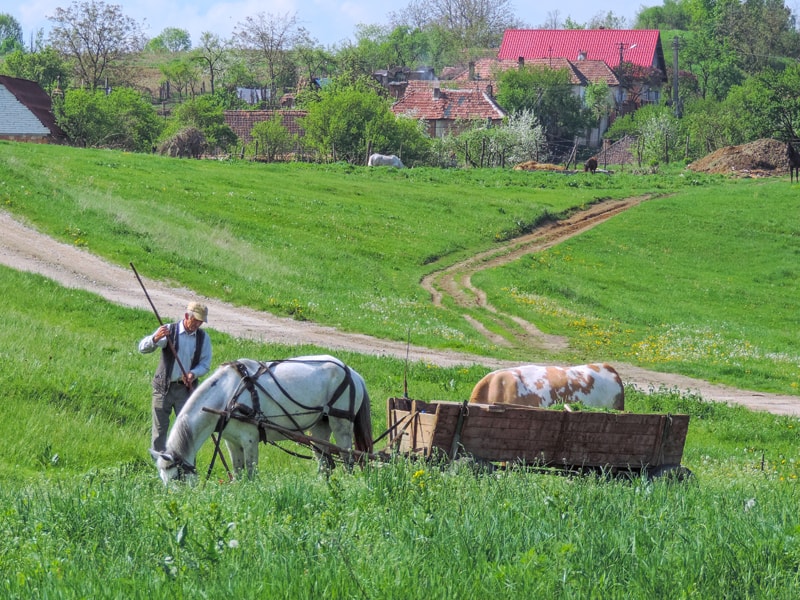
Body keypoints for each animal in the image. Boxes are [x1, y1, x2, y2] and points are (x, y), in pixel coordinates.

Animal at [149, 354, 372, 486]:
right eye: (163, 480)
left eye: (177, 477)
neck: (227, 395)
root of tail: (353, 373)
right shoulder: (231, 441)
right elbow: (238, 471)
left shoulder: (250, 439)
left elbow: (250, 472)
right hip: (320, 427)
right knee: (324, 462)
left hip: (341, 423)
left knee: (348, 459)